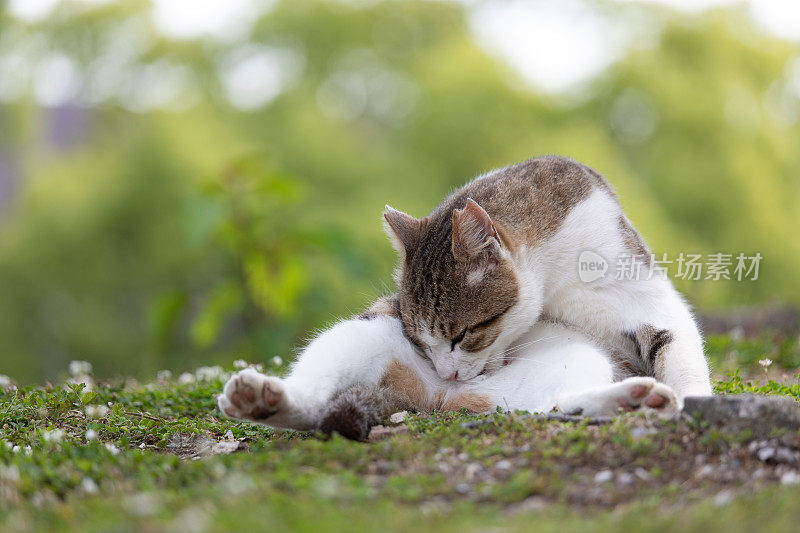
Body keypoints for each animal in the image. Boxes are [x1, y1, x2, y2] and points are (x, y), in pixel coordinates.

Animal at [216, 155, 708, 440]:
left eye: (464, 334)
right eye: (420, 340)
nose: (447, 372)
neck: (553, 278)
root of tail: (440, 401)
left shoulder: (645, 298)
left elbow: (681, 355)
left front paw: (693, 400)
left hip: (576, 362)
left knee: (554, 405)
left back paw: (636, 400)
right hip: (360, 333)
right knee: (315, 401)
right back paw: (262, 400)